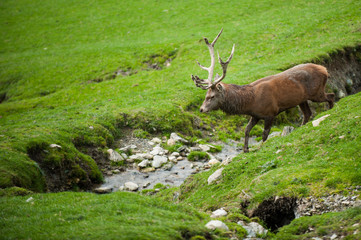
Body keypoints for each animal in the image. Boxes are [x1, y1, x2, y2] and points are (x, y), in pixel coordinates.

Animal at [191, 29, 334, 153]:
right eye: (206, 95)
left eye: (212, 96)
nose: (201, 109)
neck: (250, 102)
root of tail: (325, 69)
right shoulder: (255, 115)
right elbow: (246, 130)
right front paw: (245, 149)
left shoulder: (270, 112)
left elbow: (265, 134)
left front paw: (261, 147)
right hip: (302, 99)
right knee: (308, 113)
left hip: (316, 92)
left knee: (331, 95)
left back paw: (330, 110)